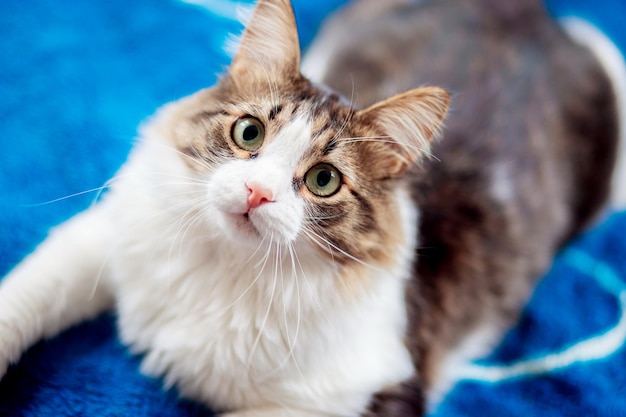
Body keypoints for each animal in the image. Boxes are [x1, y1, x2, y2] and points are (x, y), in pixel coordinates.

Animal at [0, 0, 620, 416]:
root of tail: (530, 13)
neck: (223, 269)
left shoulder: (374, 391)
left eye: (324, 180)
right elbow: (24, 296)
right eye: (248, 133)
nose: (258, 192)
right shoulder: (101, 237)